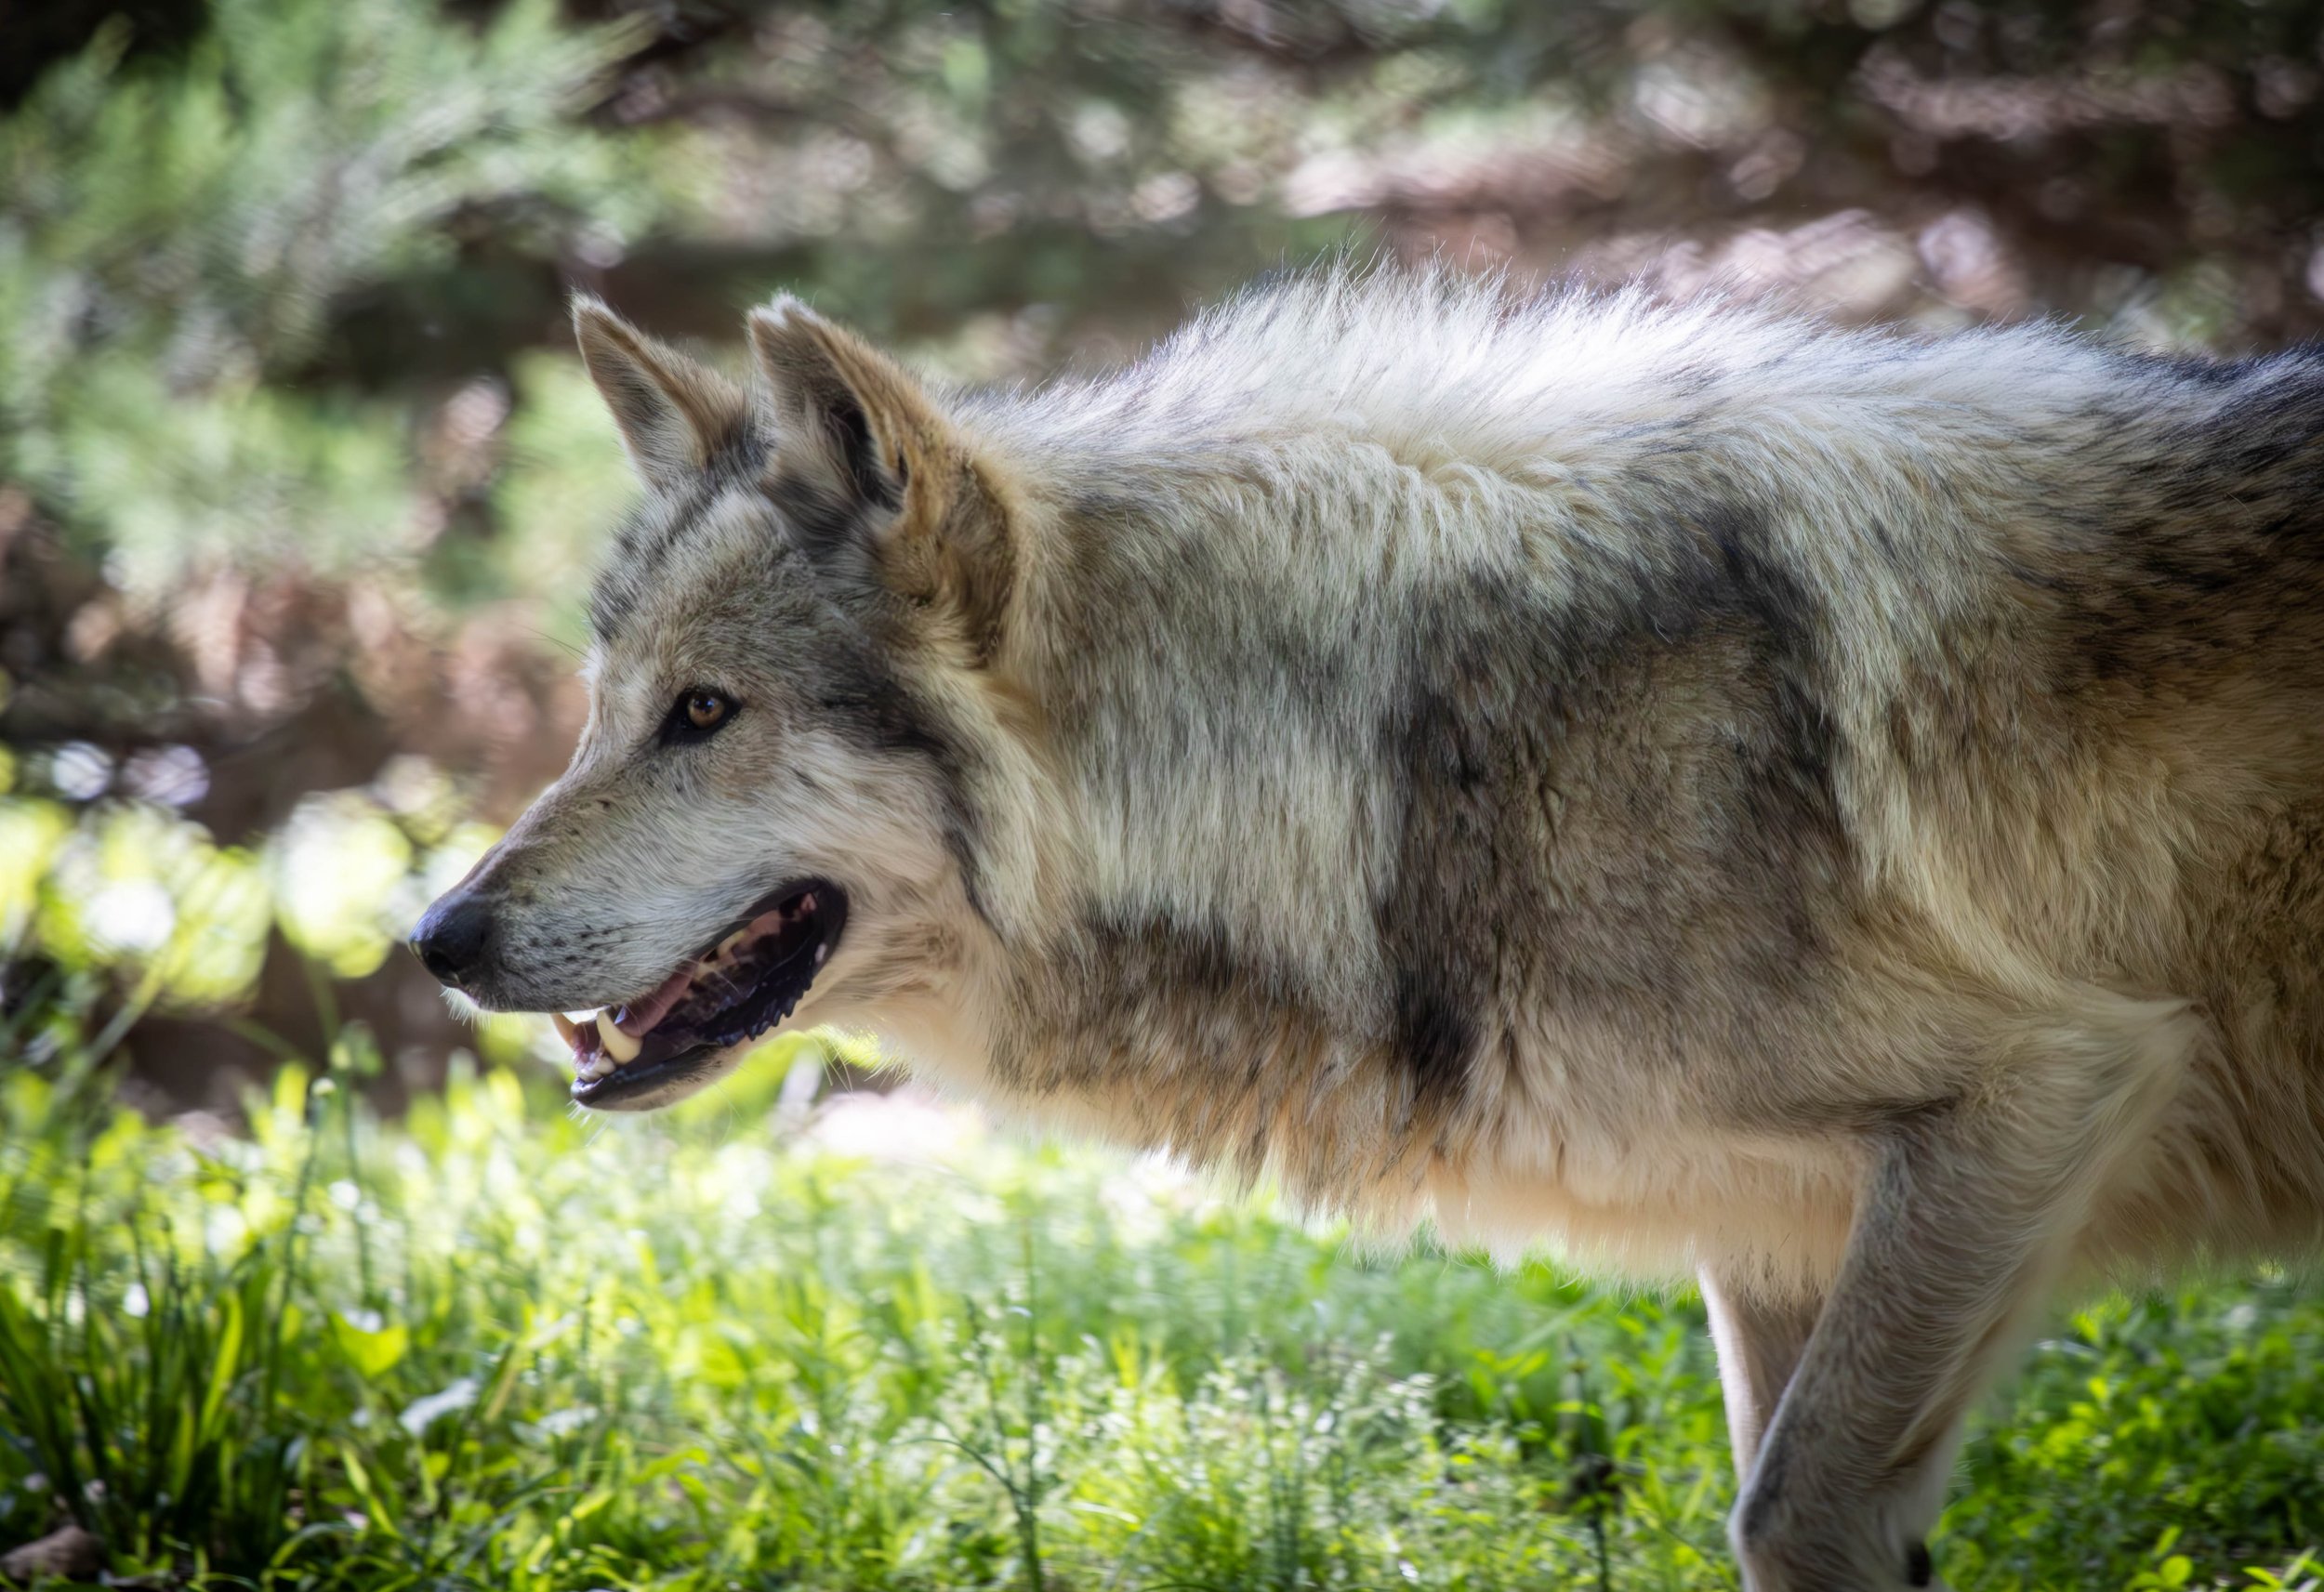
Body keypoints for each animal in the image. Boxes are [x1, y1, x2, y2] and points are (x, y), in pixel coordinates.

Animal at [411, 267, 2324, 1589]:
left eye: (706, 714)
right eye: (602, 709)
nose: (436, 936)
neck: (1395, 761)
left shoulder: (2045, 1088)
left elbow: (1791, 1508)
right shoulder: (1785, 1226)